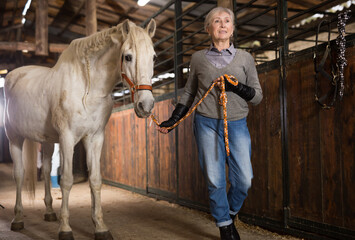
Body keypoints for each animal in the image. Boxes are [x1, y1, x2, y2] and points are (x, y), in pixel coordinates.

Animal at [2, 19, 156, 240]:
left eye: (153, 57)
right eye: (128, 56)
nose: (146, 105)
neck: (87, 88)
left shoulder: (95, 138)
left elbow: (95, 180)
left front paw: (100, 227)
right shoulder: (67, 138)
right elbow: (66, 180)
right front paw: (65, 229)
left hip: (47, 142)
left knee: (46, 170)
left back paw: (50, 212)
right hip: (15, 138)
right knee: (19, 174)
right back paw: (18, 219)